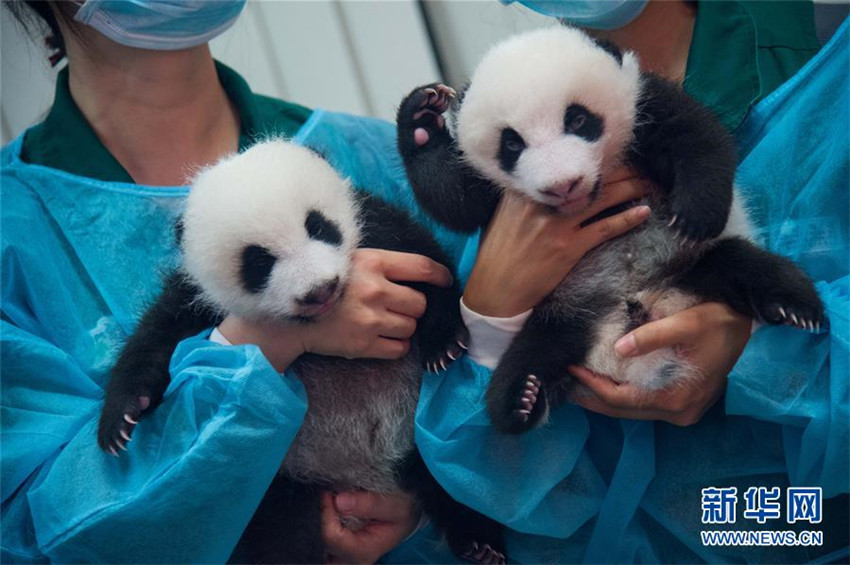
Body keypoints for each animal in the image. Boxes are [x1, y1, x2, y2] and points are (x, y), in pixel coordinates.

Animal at [97, 141, 506, 564]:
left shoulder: (377, 228)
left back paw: (480, 541)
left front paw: (443, 342)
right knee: (281, 531)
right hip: (278, 475)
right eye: (259, 261)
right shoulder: (198, 300)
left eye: (318, 226)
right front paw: (121, 418)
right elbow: (158, 337)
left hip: (412, 432)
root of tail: (368, 476)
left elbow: (426, 262)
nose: (320, 289)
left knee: (449, 476)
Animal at [395, 26, 826, 435]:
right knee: (534, 353)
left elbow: (696, 135)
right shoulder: (490, 192)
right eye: (512, 144)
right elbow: (456, 200)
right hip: (566, 313)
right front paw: (422, 121)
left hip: (694, 265)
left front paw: (695, 214)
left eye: (578, 119)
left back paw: (797, 307)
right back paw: (522, 399)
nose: (563, 185)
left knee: (746, 266)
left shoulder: (641, 104)